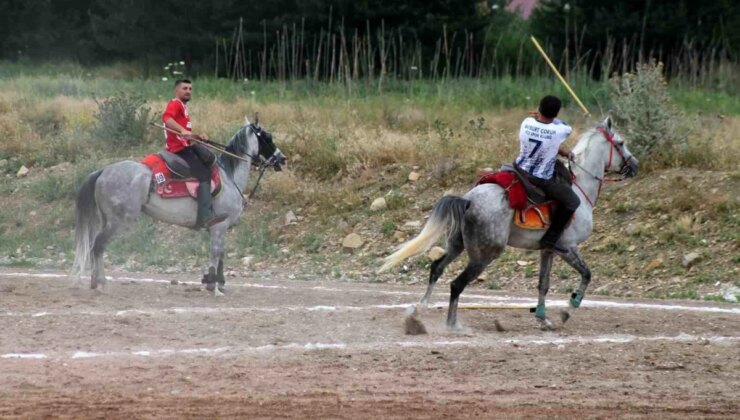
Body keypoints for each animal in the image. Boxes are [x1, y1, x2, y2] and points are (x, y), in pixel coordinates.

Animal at [71, 116, 286, 294]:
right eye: (267, 137)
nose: (282, 159)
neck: (229, 177)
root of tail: (103, 171)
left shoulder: (220, 229)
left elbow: (222, 254)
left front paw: (218, 282)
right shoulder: (219, 226)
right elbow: (216, 253)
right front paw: (213, 286)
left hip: (106, 219)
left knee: (95, 246)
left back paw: (94, 281)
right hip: (119, 220)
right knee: (98, 246)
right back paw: (101, 283)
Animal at [378, 116, 640, 330]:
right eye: (621, 142)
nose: (635, 165)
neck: (580, 186)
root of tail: (468, 200)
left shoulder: (548, 249)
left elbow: (543, 284)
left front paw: (543, 318)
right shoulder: (567, 247)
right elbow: (587, 274)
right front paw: (567, 310)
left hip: (457, 245)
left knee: (436, 269)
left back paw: (420, 310)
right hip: (484, 255)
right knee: (456, 284)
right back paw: (453, 326)